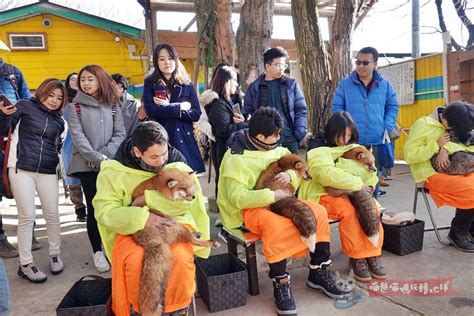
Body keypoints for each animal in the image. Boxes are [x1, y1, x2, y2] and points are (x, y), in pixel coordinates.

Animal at [131, 170, 218, 316]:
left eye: (190, 186)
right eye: (183, 189)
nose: (194, 197)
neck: (157, 183)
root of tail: (150, 243)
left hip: (176, 224)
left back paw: (197, 233)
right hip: (178, 227)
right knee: (192, 240)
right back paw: (211, 242)